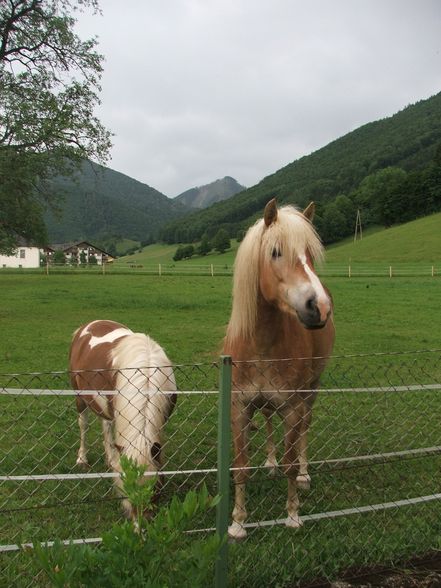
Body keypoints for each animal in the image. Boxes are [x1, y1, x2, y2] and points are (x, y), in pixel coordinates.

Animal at [69, 320, 175, 516]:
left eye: (155, 489)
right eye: (126, 488)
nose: (140, 522)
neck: (146, 378)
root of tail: (89, 325)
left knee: (106, 425)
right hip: (79, 397)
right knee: (83, 425)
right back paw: (82, 458)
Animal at [223, 198, 334, 536]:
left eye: (310, 253)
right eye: (275, 252)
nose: (320, 306)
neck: (261, 345)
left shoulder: (293, 407)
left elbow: (290, 461)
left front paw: (293, 515)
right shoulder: (239, 407)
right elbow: (241, 466)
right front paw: (237, 523)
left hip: (311, 389)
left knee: (305, 430)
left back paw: (305, 473)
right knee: (270, 421)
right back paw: (270, 463)